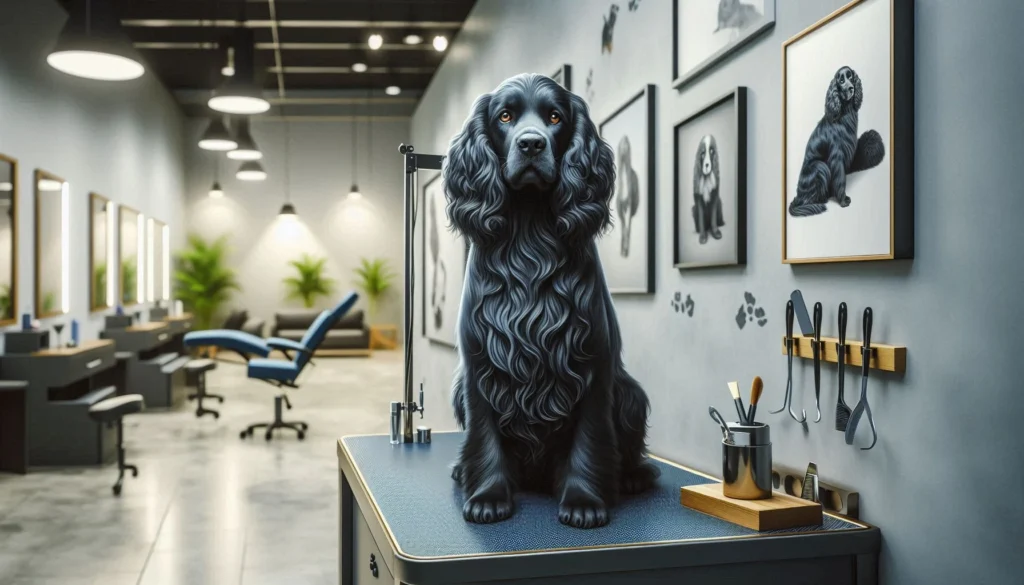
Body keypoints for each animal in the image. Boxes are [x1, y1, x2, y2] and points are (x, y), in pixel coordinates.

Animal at [444, 73, 659, 532]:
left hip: (631, 393)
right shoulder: (479, 363)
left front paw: (583, 501)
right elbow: (483, 434)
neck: (529, 229)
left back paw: (632, 475)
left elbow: (590, 436)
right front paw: (487, 497)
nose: (531, 144)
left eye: (555, 117)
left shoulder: (591, 360)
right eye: (505, 116)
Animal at [786, 66, 884, 217]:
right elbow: (840, 178)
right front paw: (843, 200)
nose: (851, 88)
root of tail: (797, 197)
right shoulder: (837, 156)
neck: (844, 114)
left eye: (850, 77)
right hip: (819, 166)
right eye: (841, 80)